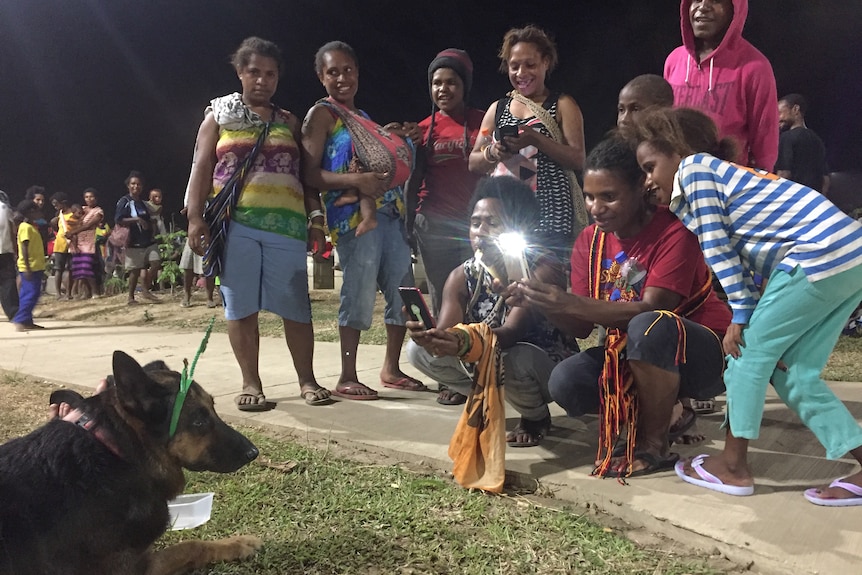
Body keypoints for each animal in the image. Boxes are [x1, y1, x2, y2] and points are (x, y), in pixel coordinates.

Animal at [0, 352, 264, 575]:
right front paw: (237, 544)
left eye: (213, 408)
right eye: (199, 422)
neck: (119, 452)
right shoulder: (136, 568)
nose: (253, 452)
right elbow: (191, 545)